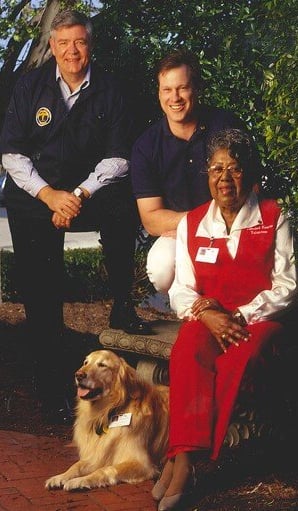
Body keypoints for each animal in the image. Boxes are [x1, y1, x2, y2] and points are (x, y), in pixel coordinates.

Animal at [45, 350, 169, 490]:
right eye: (85, 362)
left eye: (102, 365)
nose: (78, 375)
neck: (108, 411)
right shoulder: (97, 454)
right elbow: (76, 465)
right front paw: (60, 477)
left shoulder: (142, 464)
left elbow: (105, 469)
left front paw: (79, 481)